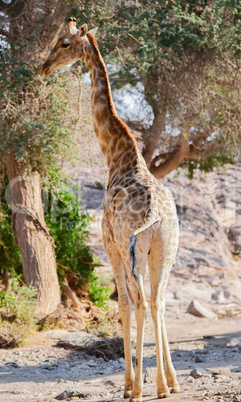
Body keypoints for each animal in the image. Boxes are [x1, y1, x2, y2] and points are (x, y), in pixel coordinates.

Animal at [41, 17, 180, 400]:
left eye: (63, 43)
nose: (43, 67)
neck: (117, 155)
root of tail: (155, 216)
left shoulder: (111, 246)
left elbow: (123, 306)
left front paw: (129, 383)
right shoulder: (141, 253)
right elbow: (150, 303)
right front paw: (168, 381)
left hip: (134, 249)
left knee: (141, 302)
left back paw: (140, 388)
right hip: (164, 250)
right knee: (158, 301)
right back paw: (165, 384)